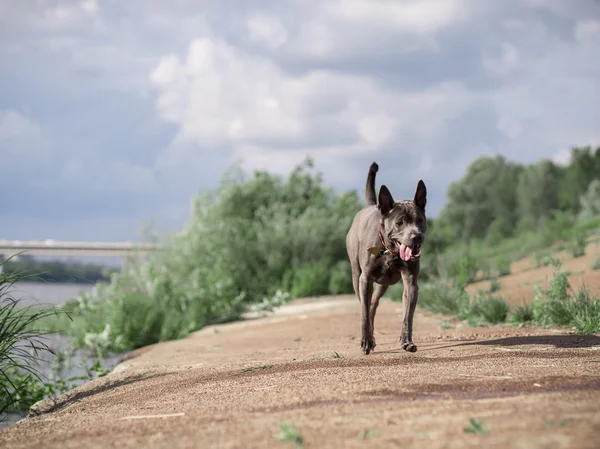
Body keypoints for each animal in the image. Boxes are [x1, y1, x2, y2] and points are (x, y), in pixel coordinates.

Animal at [342, 161, 426, 354]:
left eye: (420, 220)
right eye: (399, 223)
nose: (417, 237)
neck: (390, 251)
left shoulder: (411, 281)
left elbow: (407, 315)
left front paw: (406, 341)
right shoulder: (365, 279)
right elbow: (364, 314)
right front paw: (366, 341)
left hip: (384, 283)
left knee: (373, 304)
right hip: (356, 274)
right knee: (365, 306)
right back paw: (370, 337)